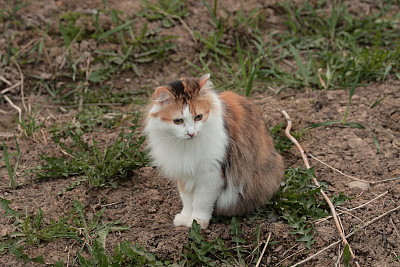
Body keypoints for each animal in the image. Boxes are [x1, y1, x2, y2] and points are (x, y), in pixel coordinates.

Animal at [144, 74, 284, 229]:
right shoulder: (184, 173)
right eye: (178, 121)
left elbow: (201, 203)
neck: (187, 146)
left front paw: (197, 222)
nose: (191, 133)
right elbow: (187, 200)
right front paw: (185, 218)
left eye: (198, 117)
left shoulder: (211, 175)